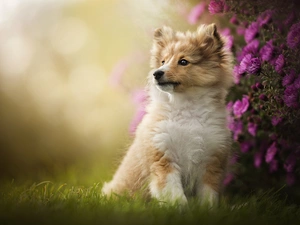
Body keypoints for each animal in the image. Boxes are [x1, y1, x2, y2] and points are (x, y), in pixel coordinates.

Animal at [102, 23, 234, 207]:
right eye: (163, 61)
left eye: (183, 61)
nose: (157, 73)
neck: (186, 109)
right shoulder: (163, 157)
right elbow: (173, 192)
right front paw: (180, 208)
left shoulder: (211, 160)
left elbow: (208, 195)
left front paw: (206, 209)